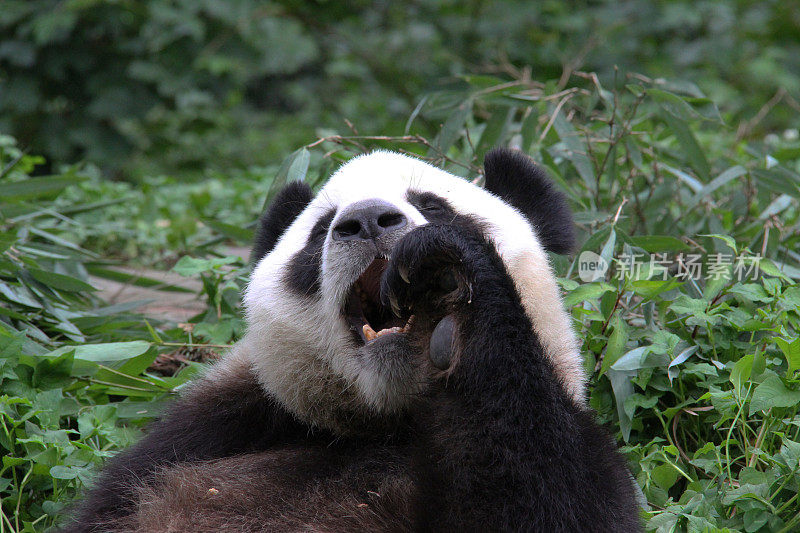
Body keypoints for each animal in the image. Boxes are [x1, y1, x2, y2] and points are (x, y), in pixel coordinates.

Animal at [61, 148, 636, 528]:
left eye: (433, 203)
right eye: (320, 230)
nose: (367, 220)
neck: (387, 420)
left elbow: (546, 499)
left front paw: (448, 275)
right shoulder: (204, 436)